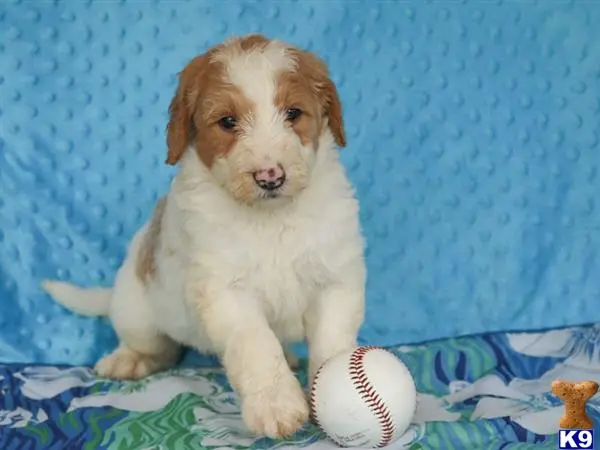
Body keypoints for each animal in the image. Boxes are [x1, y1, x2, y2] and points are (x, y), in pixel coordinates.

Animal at [41, 36, 366, 440]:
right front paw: (276, 404)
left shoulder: (335, 280)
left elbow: (333, 344)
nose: (270, 176)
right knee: (158, 348)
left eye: (293, 113)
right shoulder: (227, 292)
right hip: (138, 311)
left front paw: (337, 400)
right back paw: (130, 359)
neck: (271, 218)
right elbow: (257, 345)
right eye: (227, 122)